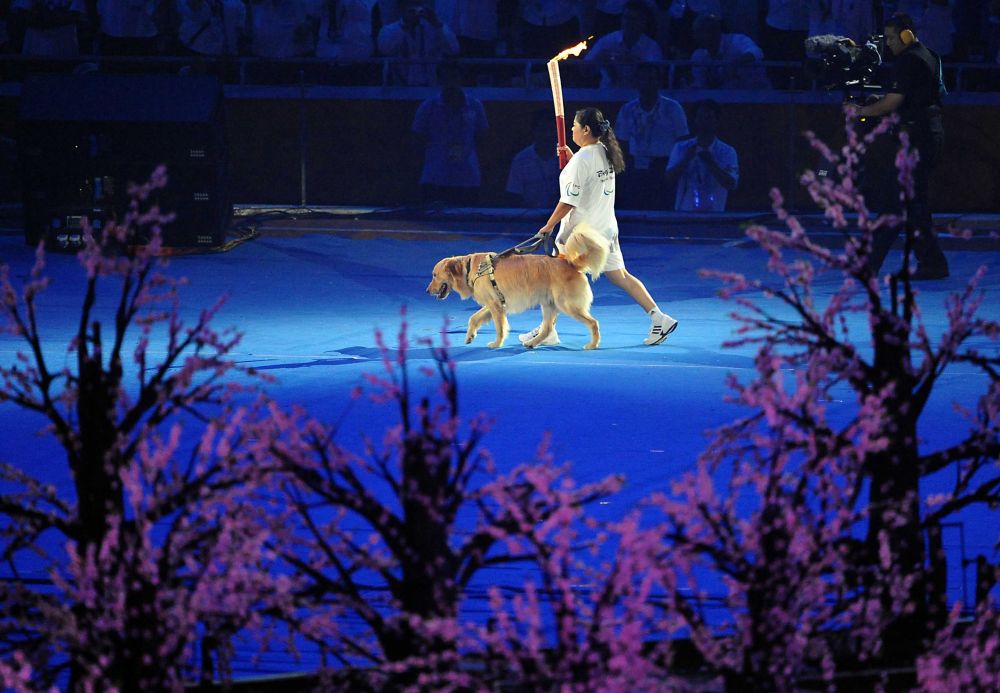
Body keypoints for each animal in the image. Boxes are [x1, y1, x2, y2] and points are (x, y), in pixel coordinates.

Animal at [425, 225, 609, 349]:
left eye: (434, 275)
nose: (427, 290)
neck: (471, 268)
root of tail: (570, 263)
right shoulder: (494, 303)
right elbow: (474, 318)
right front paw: (470, 335)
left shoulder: (495, 306)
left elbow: (499, 328)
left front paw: (497, 343)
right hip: (549, 304)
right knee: (547, 328)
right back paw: (532, 342)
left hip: (567, 305)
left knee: (593, 323)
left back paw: (593, 344)